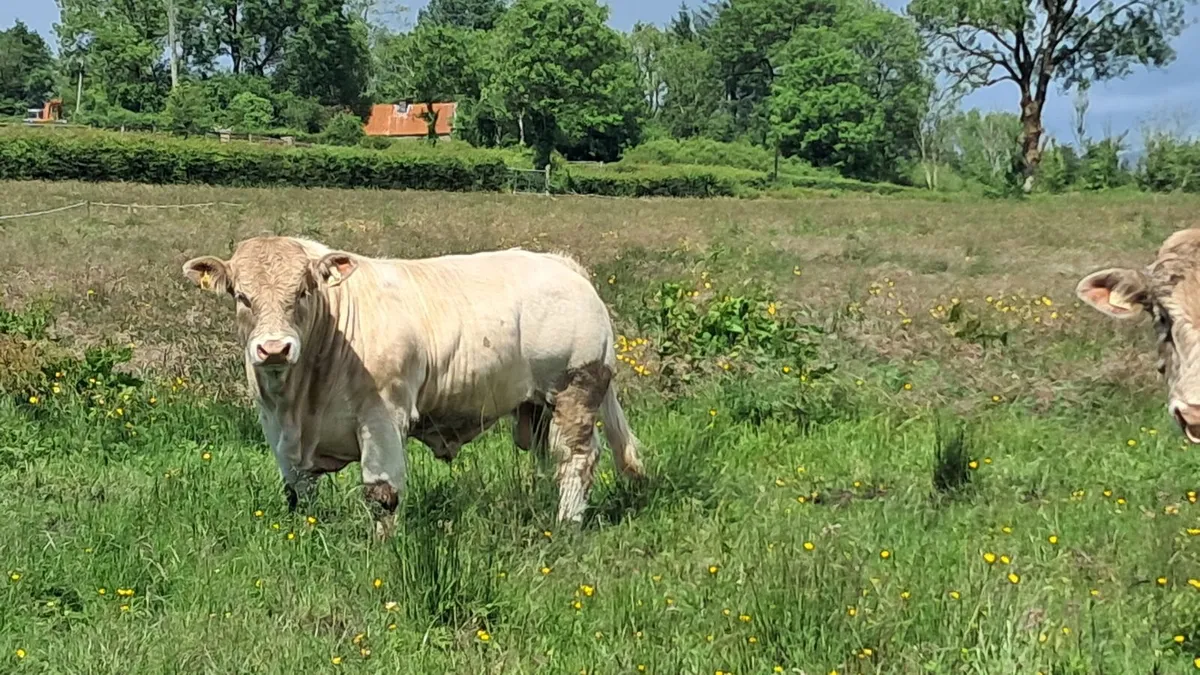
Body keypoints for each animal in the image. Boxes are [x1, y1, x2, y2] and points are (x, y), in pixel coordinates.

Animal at [182, 236, 645, 537]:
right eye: (241, 296)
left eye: (303, 291)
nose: (274, 348)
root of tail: (560, 262)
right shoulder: (277, 429)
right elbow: (298, 492)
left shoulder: (383, 416)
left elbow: (381, 492)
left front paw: (382, 549)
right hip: (538, 406)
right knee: (551, 457)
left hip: (576, 388)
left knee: (579, 457)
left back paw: (567, 524)